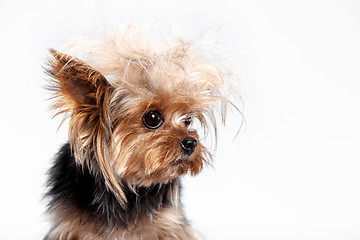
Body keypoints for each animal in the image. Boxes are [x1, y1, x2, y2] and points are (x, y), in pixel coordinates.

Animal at [43, 27, 238, 239]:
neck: (131, 189)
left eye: (188, 120)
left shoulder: (169, 227)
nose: (191, 142)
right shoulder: (71, 227)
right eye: (152, 118)